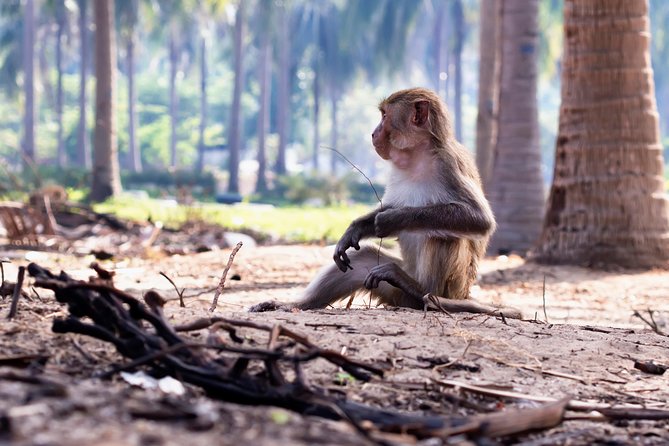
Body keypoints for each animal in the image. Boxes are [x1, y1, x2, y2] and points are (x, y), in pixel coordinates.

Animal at [251, 88, 521, 319]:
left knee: (443, 234)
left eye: (384, 116)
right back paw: (291, 305)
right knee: (363, 260)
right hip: (391, 289)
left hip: (453, 287)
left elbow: (479, 219)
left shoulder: (448, 164)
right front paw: (357, 228)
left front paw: (392, 220)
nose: (373, 132)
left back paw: (422, 291)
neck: (418, 155)